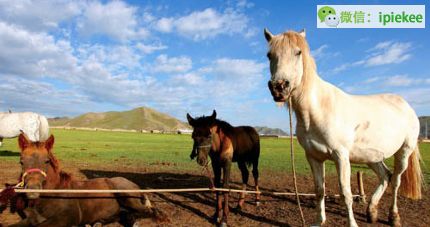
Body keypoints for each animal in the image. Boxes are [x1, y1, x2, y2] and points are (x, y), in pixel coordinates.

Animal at [8, 133, 166, 227]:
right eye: (21, 161)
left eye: (47, 161)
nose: (32, 191)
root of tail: (134, 184)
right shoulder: (31, 219)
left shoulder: (67, 218)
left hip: (126, 195)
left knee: (150, 211)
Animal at [264, 28, 422, 227]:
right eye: (269, 55)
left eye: (298, 52)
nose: (279, 87)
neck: (319, 109)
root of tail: (406, 106)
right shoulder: (314, 157)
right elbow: (319, 190)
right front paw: (319, 221)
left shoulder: (341, 156)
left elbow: (345, 193)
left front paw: (352, 223)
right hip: (372, 156)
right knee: (385, 176)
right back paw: (371, 212)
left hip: (403, 152)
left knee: (395, 181)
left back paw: (394, 217)